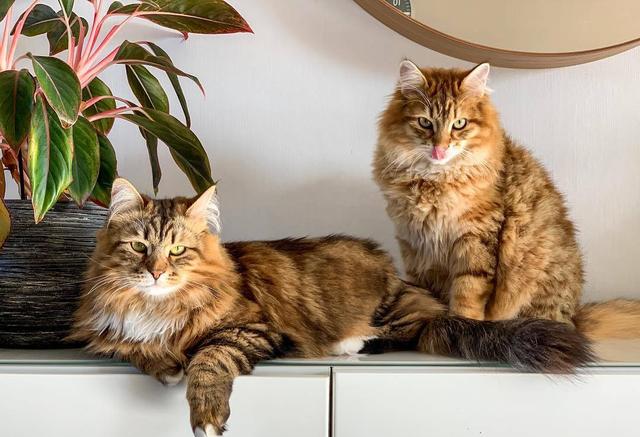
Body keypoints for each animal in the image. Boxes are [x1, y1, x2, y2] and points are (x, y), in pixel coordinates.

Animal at [71, 179, 592, 436]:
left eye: (178, 251)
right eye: (140, 247)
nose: (156, 272)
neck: (155, 307)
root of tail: (397, 277)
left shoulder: (255, 328)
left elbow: (209, 359)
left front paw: (205, 413)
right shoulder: (109, 335)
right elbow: (134, 349)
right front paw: (163, 363)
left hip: (392, 312)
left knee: (412, 331)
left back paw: (353, 342)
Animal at [373, 60, 640, 339]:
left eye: (459, 124)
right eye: (425, 122)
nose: (440, 148)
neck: (433, 182)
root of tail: (575, 316)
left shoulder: (475, 240)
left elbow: (467, 295)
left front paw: (459, 327)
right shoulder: (414, 246)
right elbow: (421, 295)